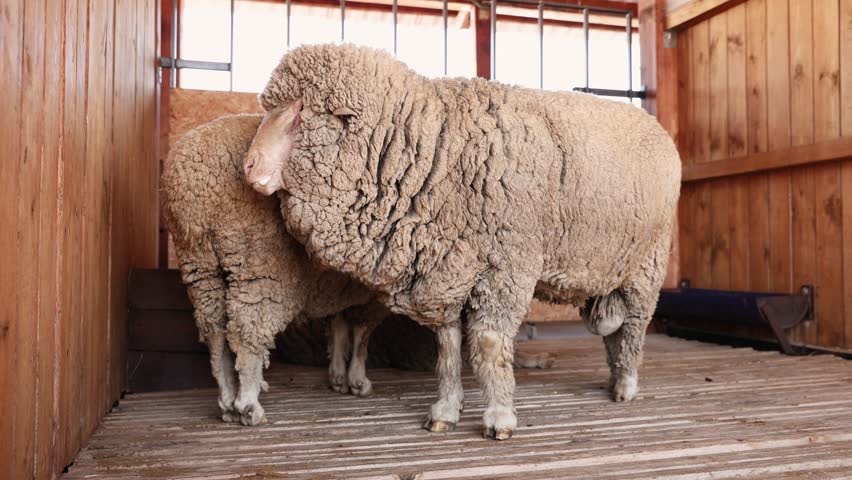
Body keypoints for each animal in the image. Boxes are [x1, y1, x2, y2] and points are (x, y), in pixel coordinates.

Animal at [161, 113, 386, 426]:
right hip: (259, 264)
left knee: (215, 331)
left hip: (199, 265)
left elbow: (338, 326)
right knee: (247, 333)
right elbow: (361, 334)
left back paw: (227, 401)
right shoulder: (370, 290)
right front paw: (356, 379)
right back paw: (248, 405)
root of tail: (190, 182)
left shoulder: (337, 284)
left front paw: (339, 377)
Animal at [242, 44, 681, 440]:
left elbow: (487, 343)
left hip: (647, 265)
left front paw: (499, 417)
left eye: (300, 113)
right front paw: (445, 411)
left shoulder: (505, 265)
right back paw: (613, 379)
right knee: (613, 331)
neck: (434, 150)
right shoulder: (447, 266)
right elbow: (448, 346)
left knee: (635, 327)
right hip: (611, 267)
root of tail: (654, 125)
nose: (247, 167)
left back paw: (626, 385)